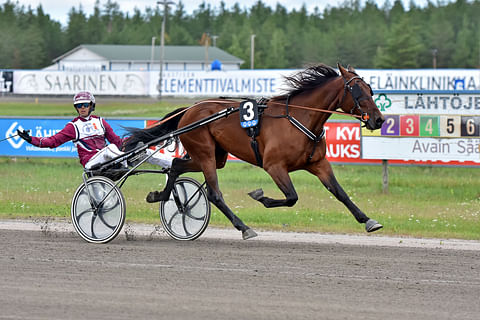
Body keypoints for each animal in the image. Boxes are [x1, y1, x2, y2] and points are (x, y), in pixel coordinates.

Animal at [124, 62, 386, 239]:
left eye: (370, 89)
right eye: (358, 91)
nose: (379, 119)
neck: (300, 118)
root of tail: (190, 109)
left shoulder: (318, 163)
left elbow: (340, 193)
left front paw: (368, 220)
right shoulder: (274, 166)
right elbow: (292, 197)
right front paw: (260, 196)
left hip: (214, 156)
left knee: (177, 165)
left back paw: (161, 196)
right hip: (205, 152)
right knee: (214, 193)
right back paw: (244, 227)